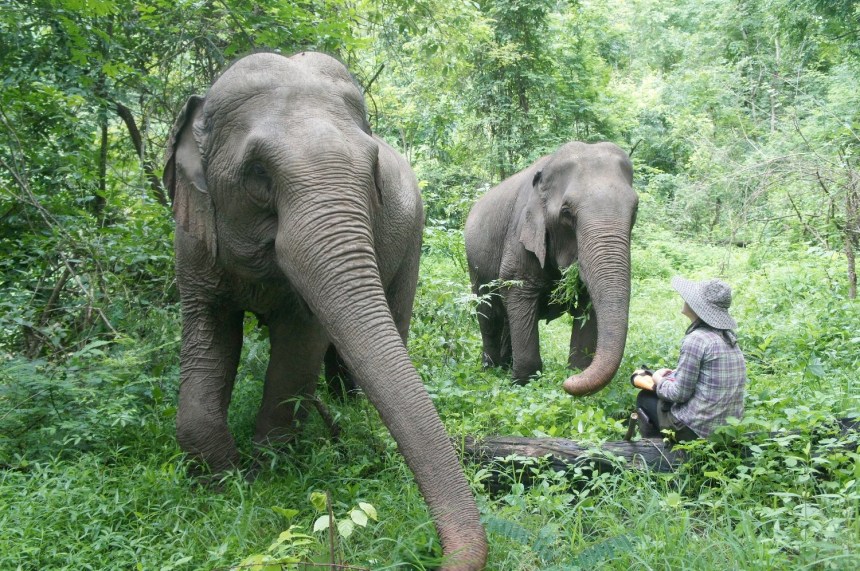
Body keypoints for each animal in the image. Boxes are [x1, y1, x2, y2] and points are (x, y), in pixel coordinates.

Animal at [163, 52, 486, 570]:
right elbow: (208, 335)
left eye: (373, 172)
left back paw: (352, 408)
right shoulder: (192, 240)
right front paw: (224, 481)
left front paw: (266, 472)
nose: (438, 556)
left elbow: (299, 345)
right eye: (257, 173)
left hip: (412, 237)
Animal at [464, 141, 637, 396]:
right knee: (488, 313)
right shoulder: (520, 235)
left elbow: (588, 302)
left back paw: (505, 366)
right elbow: (517, 290)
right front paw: (525, 384)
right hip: (475, 267)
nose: (566, 383)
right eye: (566, 213)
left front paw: (575, 372)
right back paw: (492, 369)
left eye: (635, 210)